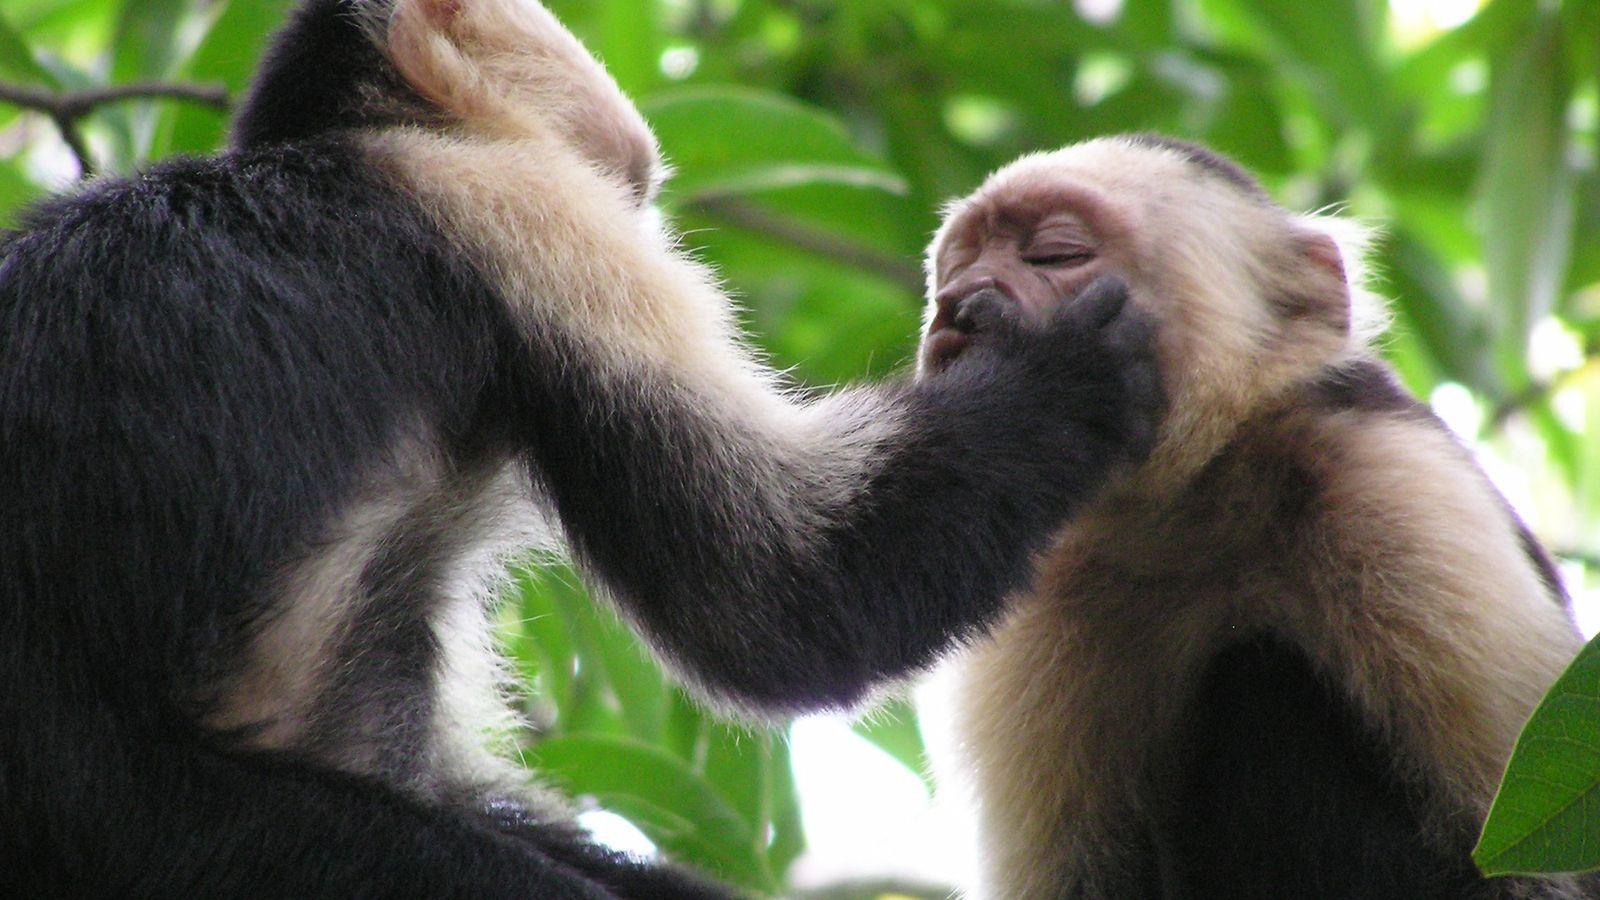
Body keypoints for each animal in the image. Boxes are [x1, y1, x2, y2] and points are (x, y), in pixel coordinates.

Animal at [917, 134, 1593, 899]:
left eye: (1056, 254)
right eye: (956, 271)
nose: (958, 306)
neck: (1194, 513)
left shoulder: (1394, 484)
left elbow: (1528, 865)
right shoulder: (1041, 597)